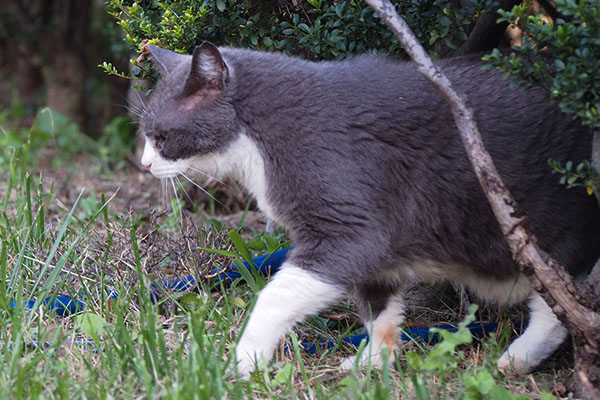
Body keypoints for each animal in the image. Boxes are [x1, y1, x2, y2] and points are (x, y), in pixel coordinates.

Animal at [137, 42, 600, 376]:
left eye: (162, 137)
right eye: (144, 134)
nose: (143, 164)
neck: (259, 138)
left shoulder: (350, 227)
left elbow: (274, 296)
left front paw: (240, 362)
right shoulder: (379, 246)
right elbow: (380, 311)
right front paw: (373, 364)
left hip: (554, 230)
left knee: (563, 303)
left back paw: (516, 359)